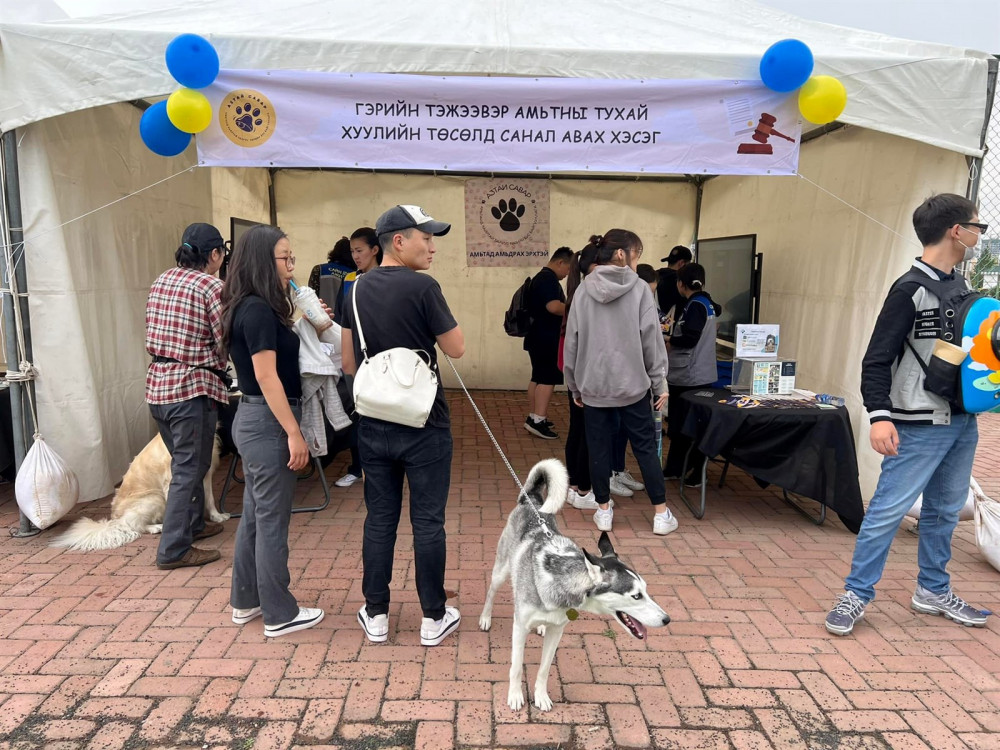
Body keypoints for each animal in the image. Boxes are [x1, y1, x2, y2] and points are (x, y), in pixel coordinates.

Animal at [50, 434, 227, 552]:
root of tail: (114, 519)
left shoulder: (206, 474)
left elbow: (209, 499)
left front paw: (217, 516)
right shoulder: (172, 480)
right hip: (154, 498)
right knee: (132, 524)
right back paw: (156, 527)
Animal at [478, 458, 668, 712]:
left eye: (645, 590)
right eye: (636, 596)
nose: (667, 619)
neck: (560, 583)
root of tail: (532, 499)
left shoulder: (557, 632)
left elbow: (544, 669)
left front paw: (541, 696)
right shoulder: (519, 628)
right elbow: (516, 668)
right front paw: (515, 696)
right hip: (501, 570)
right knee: (491, 591)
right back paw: (485, 618)